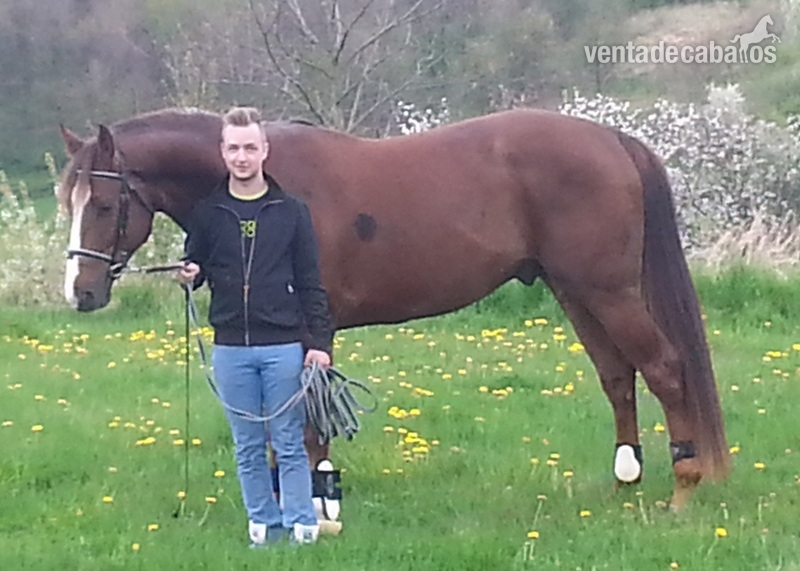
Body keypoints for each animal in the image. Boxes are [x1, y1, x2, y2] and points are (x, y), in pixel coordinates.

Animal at [57, 107, 730, 510]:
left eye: (104, 204)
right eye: (68, 199)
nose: (80, 293)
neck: (266, 189)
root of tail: (613, 140)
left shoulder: (312, 329)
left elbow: (307, 422)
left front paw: (317, 501)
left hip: (607, 290)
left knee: (665, 369)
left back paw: (683, 489)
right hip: (576, 289)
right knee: (618, 374)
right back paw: (626, 478)